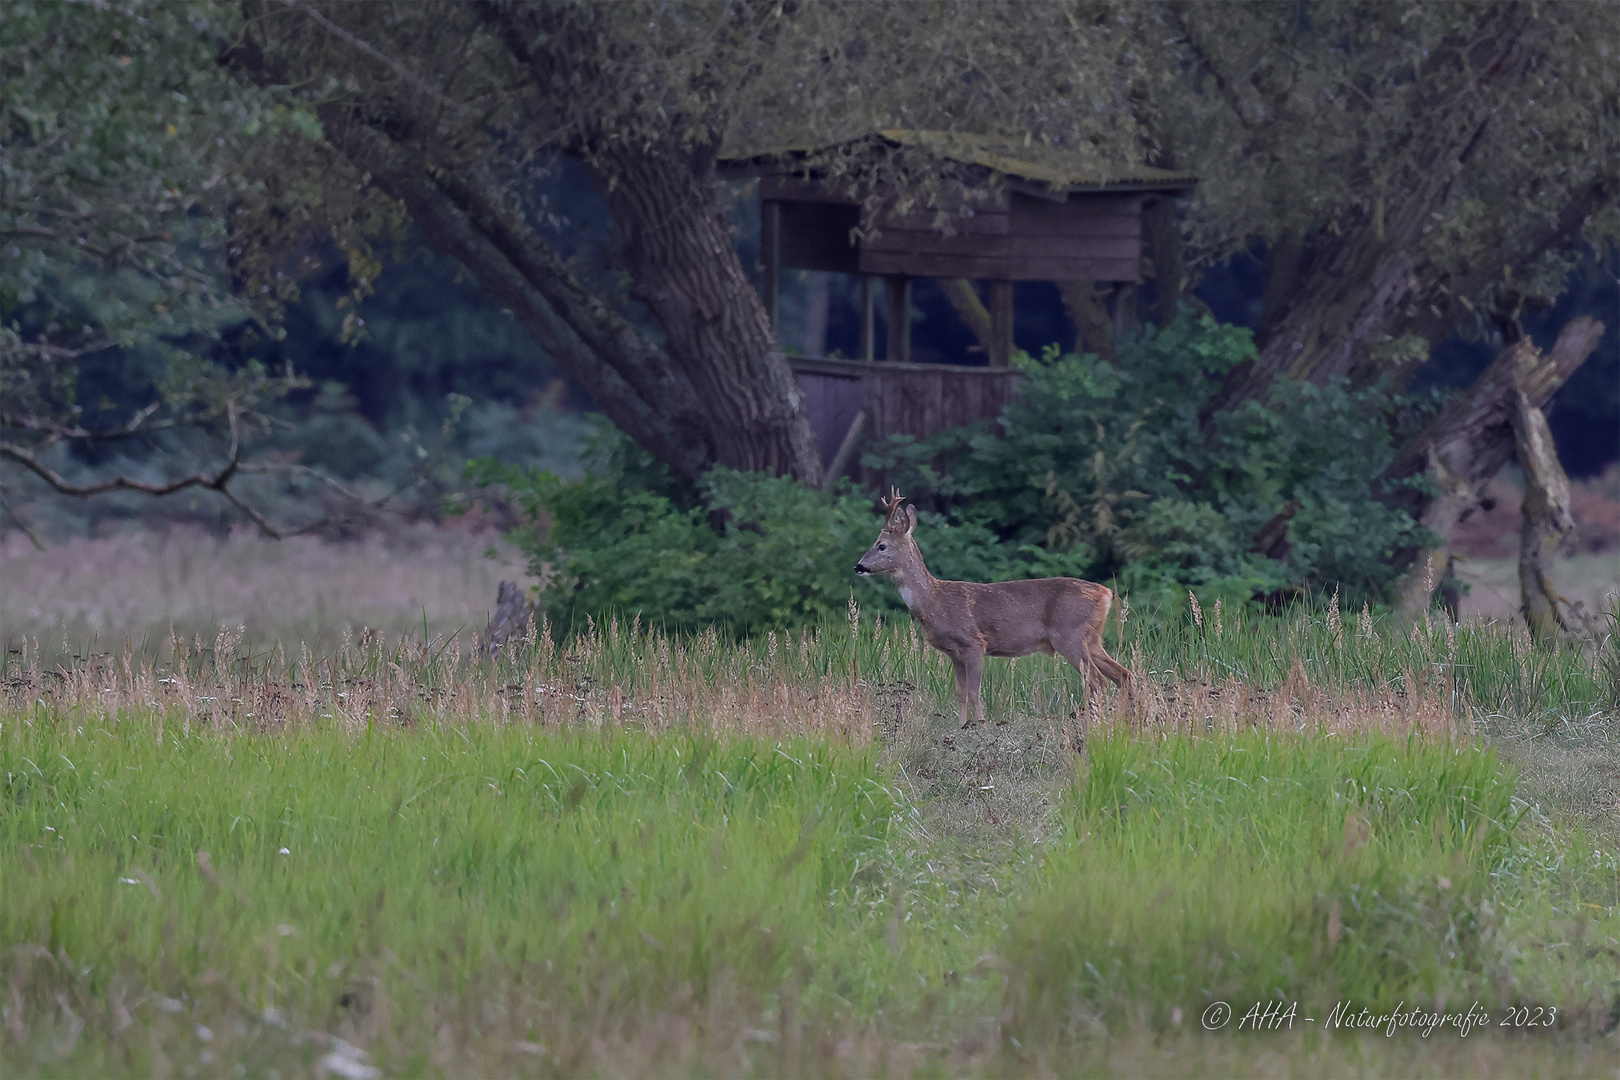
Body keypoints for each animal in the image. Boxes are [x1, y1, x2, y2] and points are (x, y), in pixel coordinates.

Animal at [861, 495, 1127, 731]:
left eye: (882, 545)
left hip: (1069, 635)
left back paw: (1096, 725)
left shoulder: (974, 643)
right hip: (1092, 639)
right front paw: (961, 727)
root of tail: (1106, 593)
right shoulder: (954, 653)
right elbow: (960, 693)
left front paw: (980, 726)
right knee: (1123, 675)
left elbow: (974, 692)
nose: (859, 566)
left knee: (1098, 681)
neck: (935, 602)